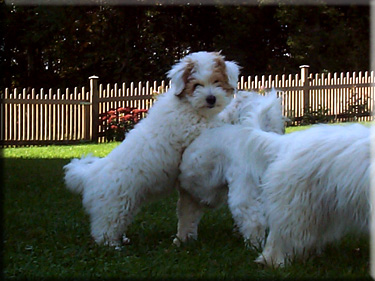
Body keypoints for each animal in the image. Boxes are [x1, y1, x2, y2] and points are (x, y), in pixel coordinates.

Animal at [64, 51, 241, 246]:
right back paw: (113, 245)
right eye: (196, 85)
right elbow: (214, 125)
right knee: (104, 229)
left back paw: (123, 239)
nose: (211, 99)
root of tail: (90, 175)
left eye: (217, 81)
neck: (189, 105)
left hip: (128, 205)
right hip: (114, 206)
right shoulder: (192, 127)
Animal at [176, 90, 284, 245]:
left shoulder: (188, 193)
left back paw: (253, 244)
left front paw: (181, 240)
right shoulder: (191, 194)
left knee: (253, 220)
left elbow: (185, 216)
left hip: (242, 189)